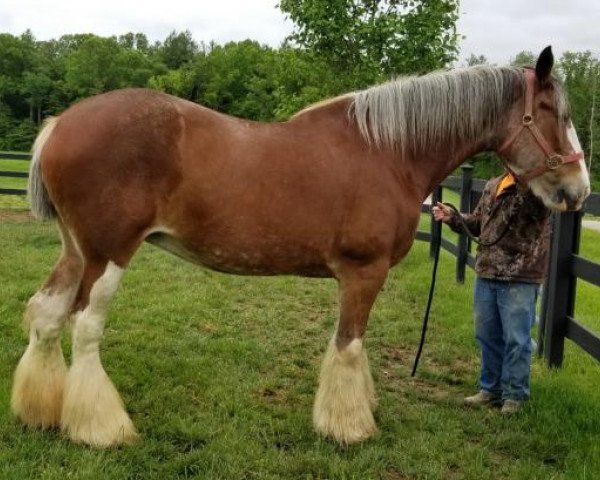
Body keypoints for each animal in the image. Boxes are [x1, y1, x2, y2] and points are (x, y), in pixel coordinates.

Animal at [14, 47, 592, 448]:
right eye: (554, 112)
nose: (578, 191)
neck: (388, 151)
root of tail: (61, 123)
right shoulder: (363, 272)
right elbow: (349, 345)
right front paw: (349, 427)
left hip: (76, 251)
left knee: (46, 315)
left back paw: (39, 411)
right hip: (108, 254)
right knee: (84, 325)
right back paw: (100, 429)